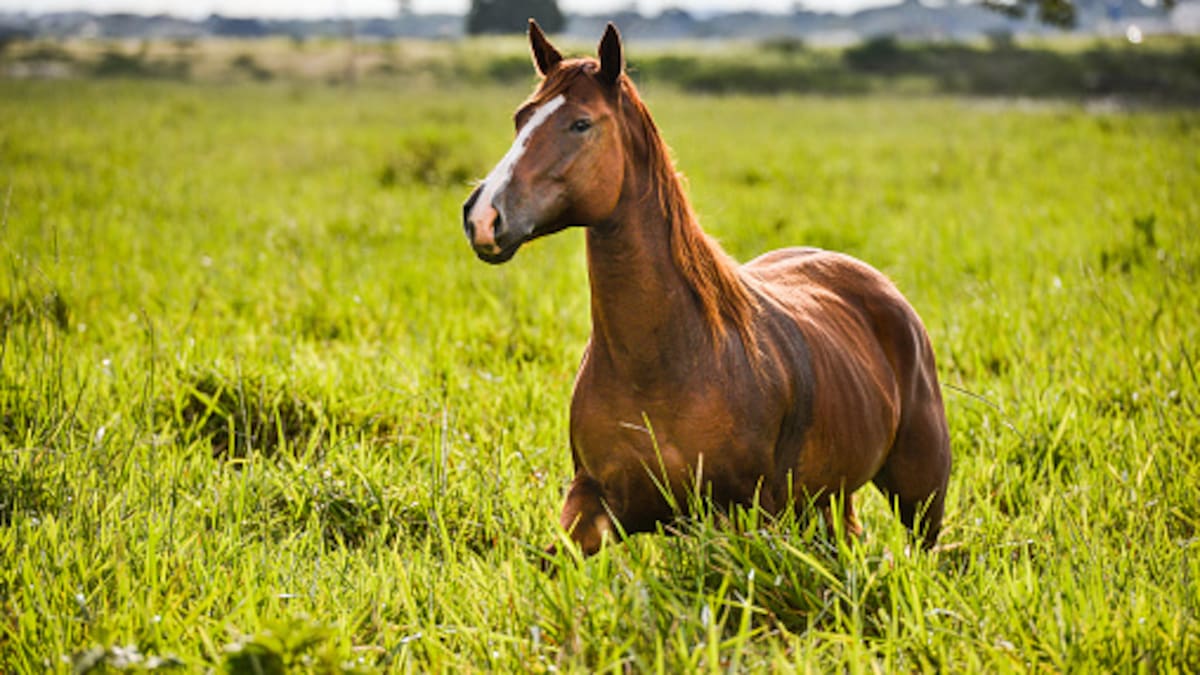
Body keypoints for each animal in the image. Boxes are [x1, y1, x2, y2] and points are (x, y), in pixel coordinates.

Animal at [462, 20, 951, 557]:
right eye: (521, 118)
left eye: (581, 124)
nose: (483, 217)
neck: (665, 360)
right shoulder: (592, 502)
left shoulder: (746, 513)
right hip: (827, 500)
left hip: (919, 495)